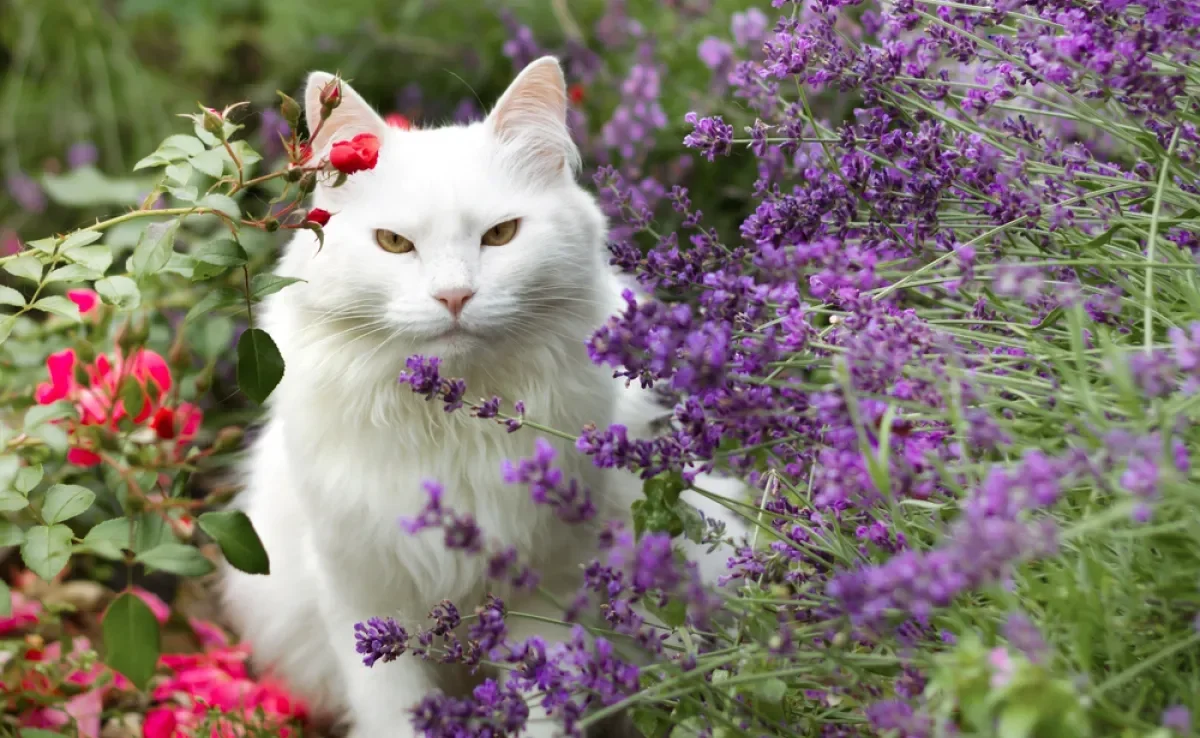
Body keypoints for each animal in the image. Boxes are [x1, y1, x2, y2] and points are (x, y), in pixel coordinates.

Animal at [217, 56, 739, 738]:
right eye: (394, 244)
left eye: (501, 235)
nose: (454, 296)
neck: (452, 424)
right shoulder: (363, 595)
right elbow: (395, 712)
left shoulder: (542, 593)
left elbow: (539, 703)